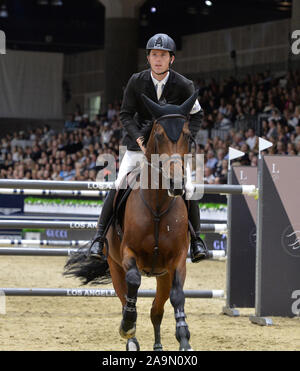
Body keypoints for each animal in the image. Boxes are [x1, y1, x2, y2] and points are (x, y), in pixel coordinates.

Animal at [63, 90, 199, 352]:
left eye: (187, 135)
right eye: (159, 134)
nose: (176, 184)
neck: (157, 207)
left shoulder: (177, 260)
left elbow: (178, 295)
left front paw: (184, 338)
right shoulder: (128, 254)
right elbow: (133, 283)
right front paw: (127, 325)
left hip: (162, 275)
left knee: (157, 310)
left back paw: (158, 346)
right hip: (115, 267)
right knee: (125, 296)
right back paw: (131, 338)